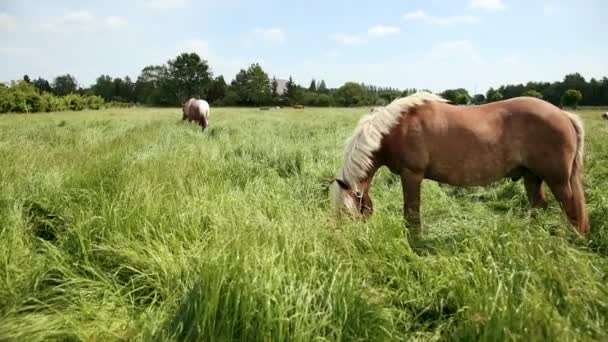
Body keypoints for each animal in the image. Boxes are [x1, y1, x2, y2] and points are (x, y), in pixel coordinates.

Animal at [332, 92, 588, 239]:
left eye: (346, 213)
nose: (344, 242)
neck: (395, 129)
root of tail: (564, 115)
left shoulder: (411, 175)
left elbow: (411, 214)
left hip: (558, 180)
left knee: (572, 211)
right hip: (532, 176)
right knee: (538, 206)